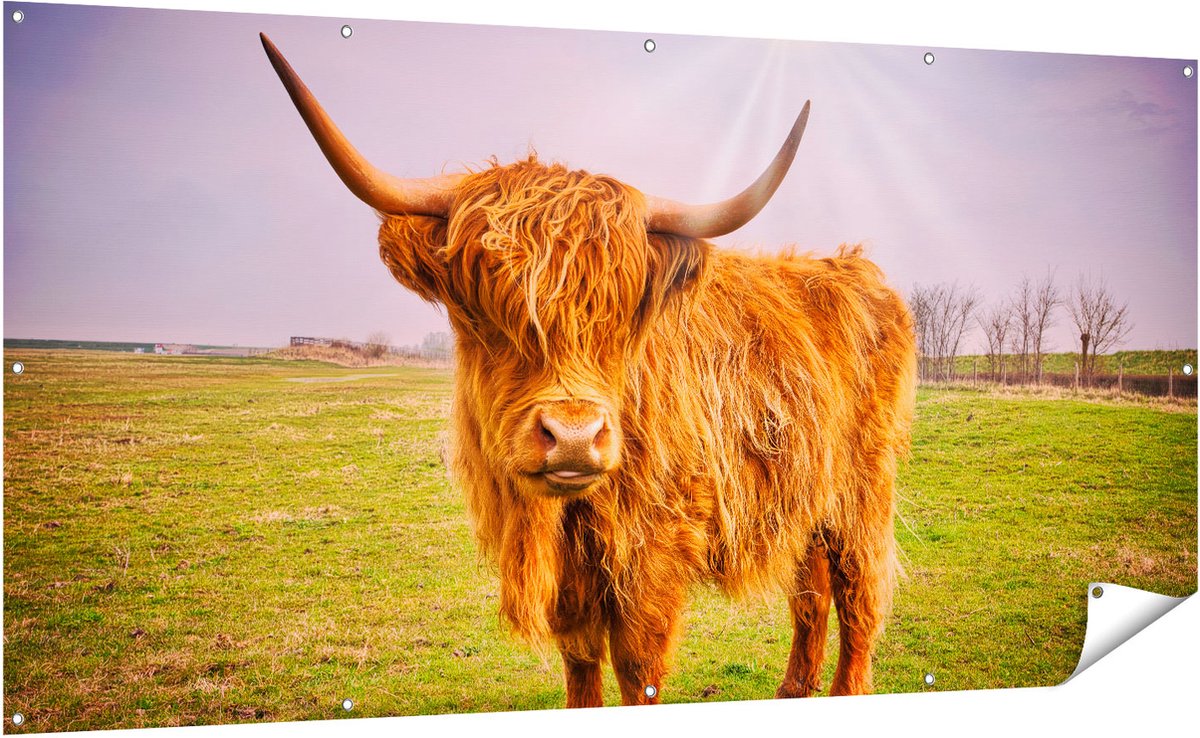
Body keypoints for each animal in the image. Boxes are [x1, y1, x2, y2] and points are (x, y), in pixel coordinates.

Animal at [261, 33, 916, 706]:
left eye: (622, 313)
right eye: (482, 307)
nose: (574, 437)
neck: (562, 520)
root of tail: (851, 269)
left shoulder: (654, 547)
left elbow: (636, 664)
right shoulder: (572, 574)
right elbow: (579, 656)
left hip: (863, 488)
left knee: (858, 593)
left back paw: (844, 691)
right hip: (807, 489)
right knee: (811, 589)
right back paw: (793, 689)